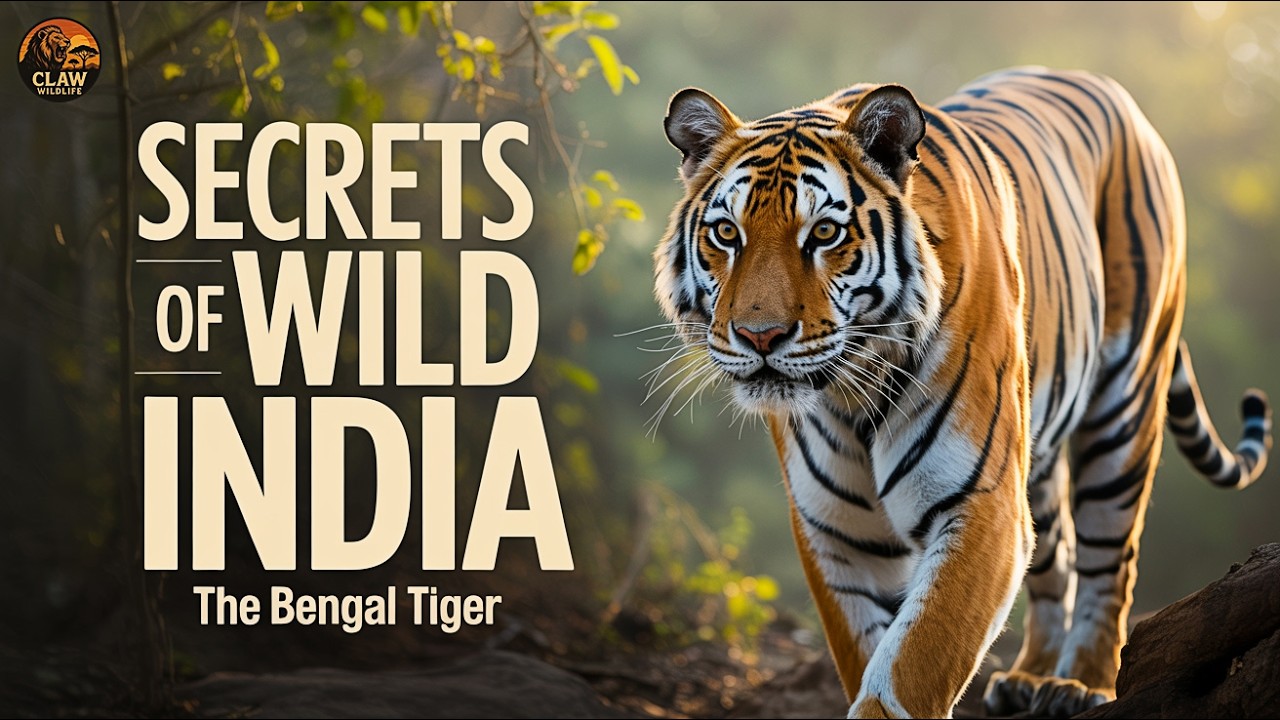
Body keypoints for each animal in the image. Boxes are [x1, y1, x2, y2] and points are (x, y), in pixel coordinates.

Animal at [651, 67, 1272, 718]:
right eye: (727, 233)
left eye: (823, 232)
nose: (760, 335)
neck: (851, 394)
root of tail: (1101, 83)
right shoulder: (838, 534)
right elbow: (867, 653)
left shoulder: (981, 504)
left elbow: (909, 669)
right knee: (1058, 552)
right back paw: (1029, 677)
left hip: (1124, 405)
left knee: (1110, 558)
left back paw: (1078, 684)